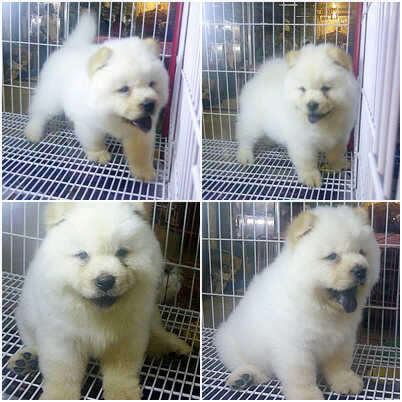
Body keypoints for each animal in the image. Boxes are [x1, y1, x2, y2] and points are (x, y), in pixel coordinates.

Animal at [8, 202, 191, 400]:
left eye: (122, 252)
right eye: (82, 255)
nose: (105, 280)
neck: (97, 312)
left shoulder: (127, 335)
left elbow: (122, 372)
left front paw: (123, 394)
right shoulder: (62, 340)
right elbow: (63, 374)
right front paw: (59, 396)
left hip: (149, 313)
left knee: (156, 331)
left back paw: (173, 348)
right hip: (25, 319)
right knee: (32, 342)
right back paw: (26, 360)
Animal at [25, 12, 169, 182]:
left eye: (152, 84)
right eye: (124, 89)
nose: (149, 104)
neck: (115, 118)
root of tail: (69, 47)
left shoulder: (142, 129)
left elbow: (141, 151)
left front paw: (144, 171)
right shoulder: (89, 124)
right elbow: (94, 141)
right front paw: (99, 154)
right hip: (51, 98)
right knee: (39, 112)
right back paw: (33, 132)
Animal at [215, 206, 380, 399]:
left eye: (362, 252)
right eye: (332, 256)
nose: (361, 269)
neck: (324, 309)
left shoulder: (343, 339)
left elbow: (340, 363)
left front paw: (345, 381)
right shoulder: (295, 347)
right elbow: (301, 375)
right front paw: (307, 396)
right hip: (231, 342)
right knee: (246, 363)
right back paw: (243, 376)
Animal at [236, 44, 359, 187]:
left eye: (325, 88)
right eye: (302, 89)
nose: (312, 104)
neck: (323, 123)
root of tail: (261, 75)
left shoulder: (341, 136)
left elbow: (337, 152)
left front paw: (339, 164)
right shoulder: (303, 142)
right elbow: (307, 161)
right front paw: (310, 177)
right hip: (252, 122)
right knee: (245, 138)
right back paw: (245, 155)